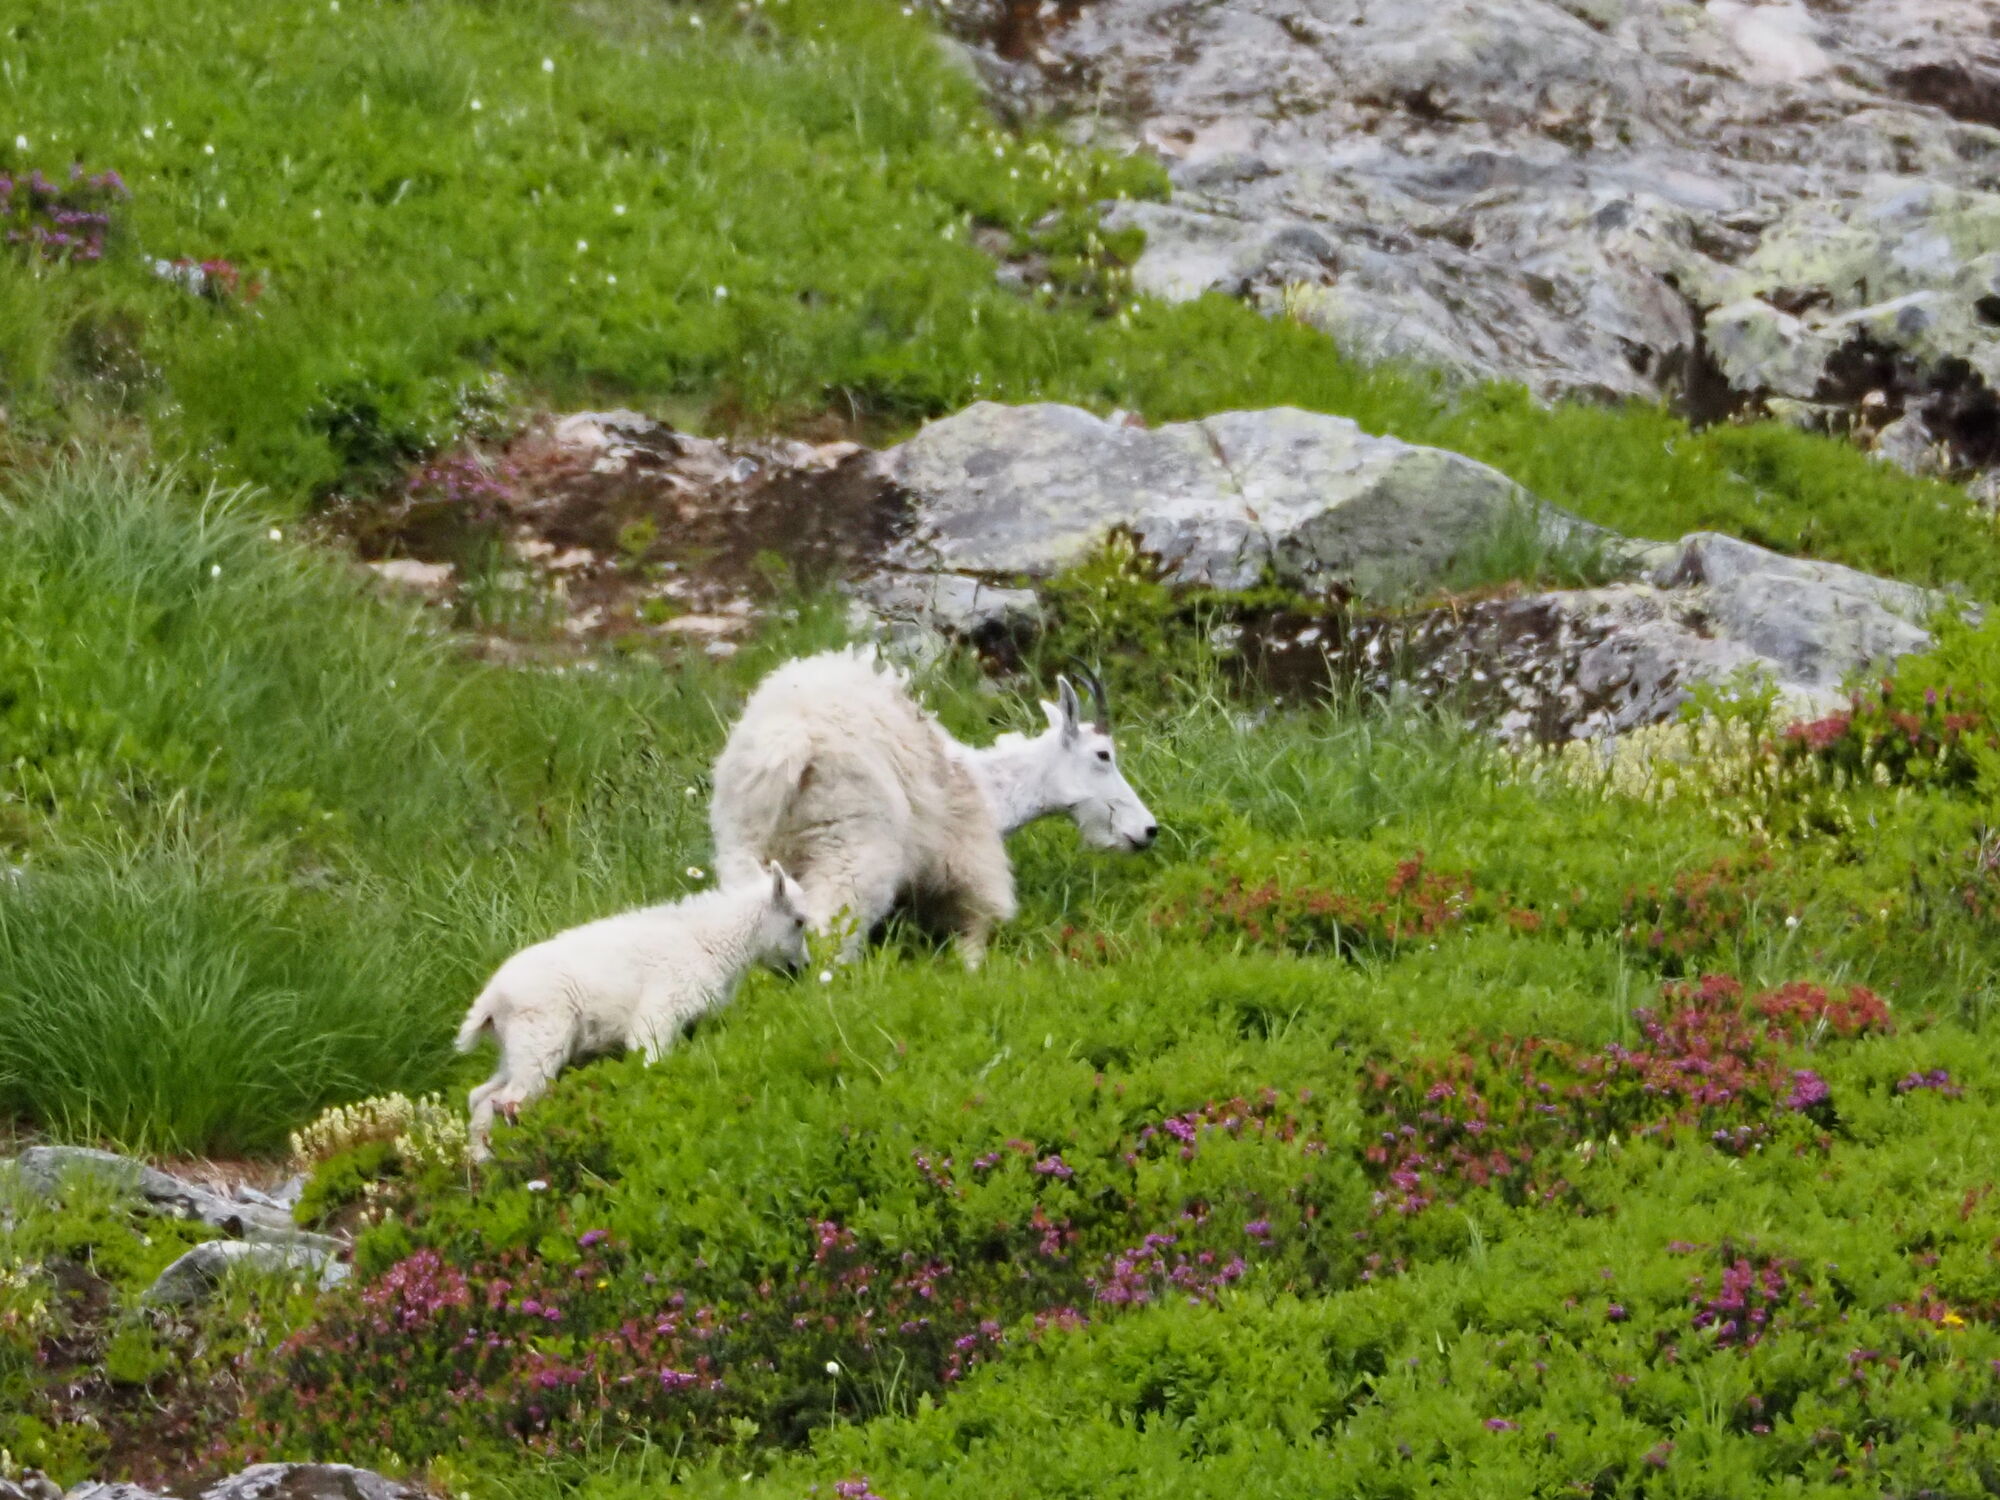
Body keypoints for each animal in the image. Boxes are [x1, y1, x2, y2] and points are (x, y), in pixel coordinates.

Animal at [455, 863, 810, 1160]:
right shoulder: (657, 1017)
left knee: (482, 1097)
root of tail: (491, 1000)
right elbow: (652, 1066)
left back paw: (482, 1158)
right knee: (511, 1101)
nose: (804, 969)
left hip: (516, 1051)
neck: (711, 940)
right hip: (540, 1042)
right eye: (799, 921)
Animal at [708, 646, 1156, 969]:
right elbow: (978, 929)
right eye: (1103, 754)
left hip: (745, 843)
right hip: (851, 845)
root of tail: (787, 743)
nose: (1148, 830)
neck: (987, 789)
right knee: (829, 925)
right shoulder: (971, 866)